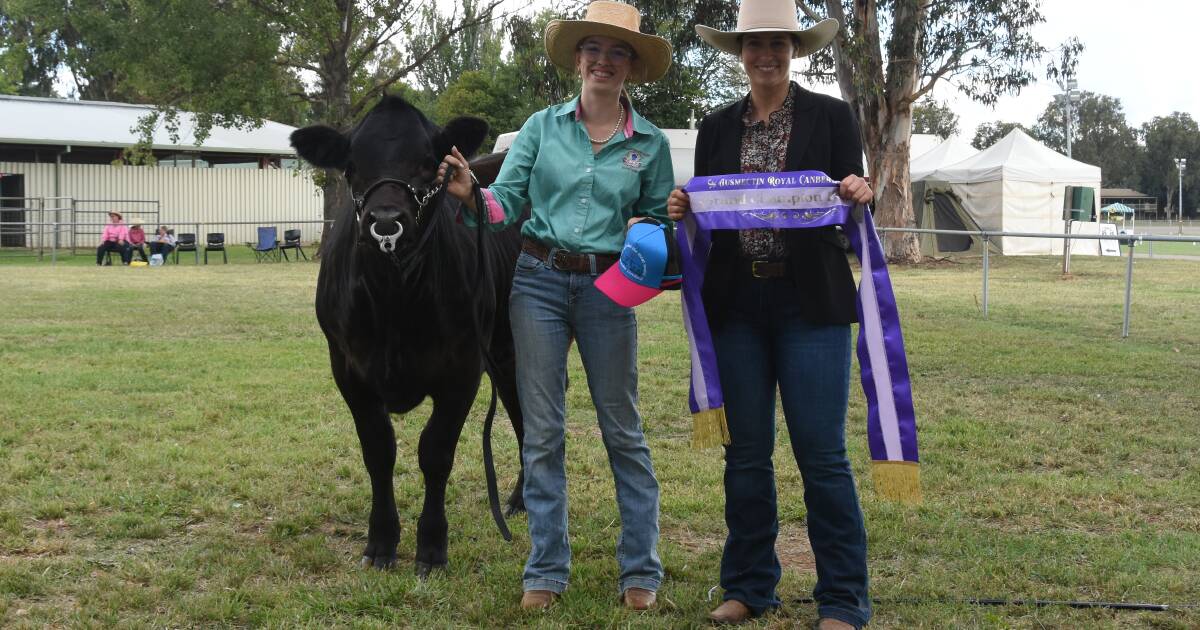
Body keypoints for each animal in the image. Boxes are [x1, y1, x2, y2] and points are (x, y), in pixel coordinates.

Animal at [291, 96, 525, 571]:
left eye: (428, 164)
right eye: (351, 166)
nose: (385, 222)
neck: (393, 300)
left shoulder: (462, 370)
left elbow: (435, 453)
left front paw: (432, 547)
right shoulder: (348, 369)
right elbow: (378, 451)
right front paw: (381, 542)